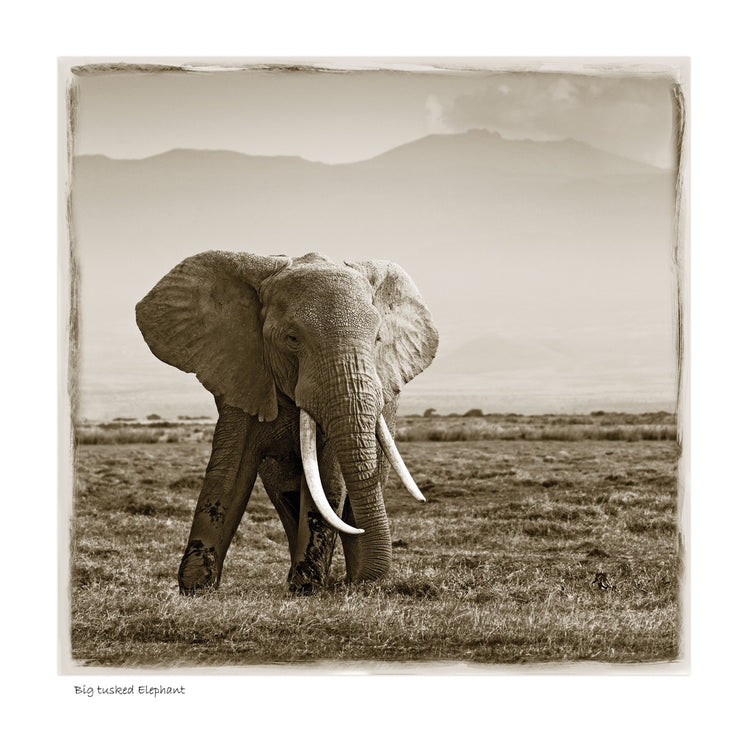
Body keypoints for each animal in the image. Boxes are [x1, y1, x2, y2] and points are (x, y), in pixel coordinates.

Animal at [135, 251, 438, 594]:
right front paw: (196, 587)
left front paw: (309, 588)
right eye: (292, 338)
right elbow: (231, 468)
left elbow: (328, 475)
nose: (360, 583)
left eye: (377, 340)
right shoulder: (242, 370)